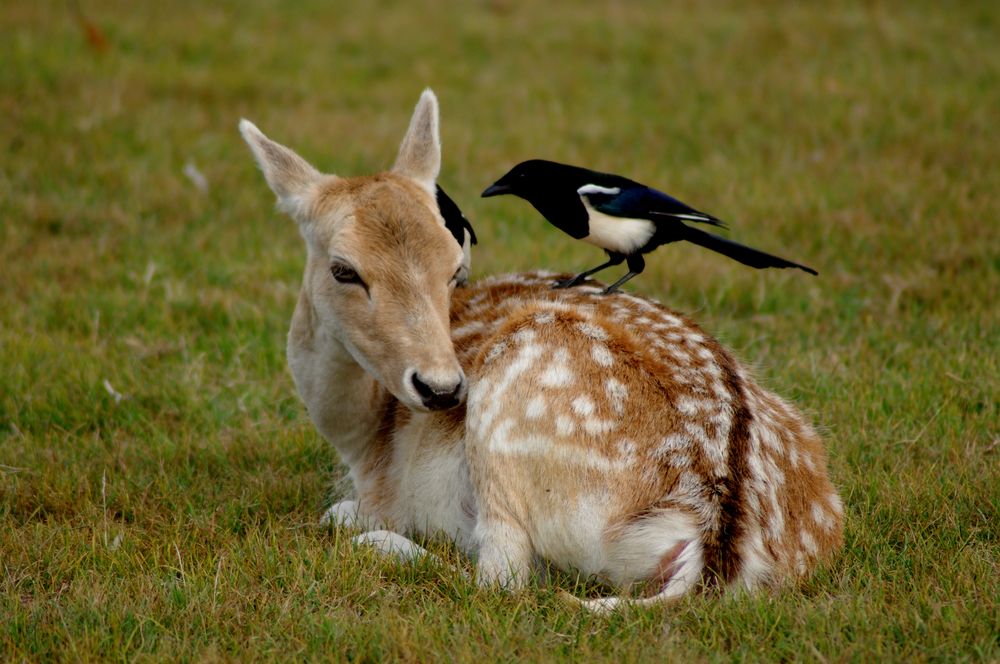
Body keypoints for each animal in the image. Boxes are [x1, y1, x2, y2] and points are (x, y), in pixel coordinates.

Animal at [240, 89, 844, 612]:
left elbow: (344, 513)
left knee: (502, 577)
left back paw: (388, 543)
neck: (360, 440)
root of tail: (709, 543)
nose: (441, 388)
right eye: (343, 270)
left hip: (507, 413)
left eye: (454, 268)